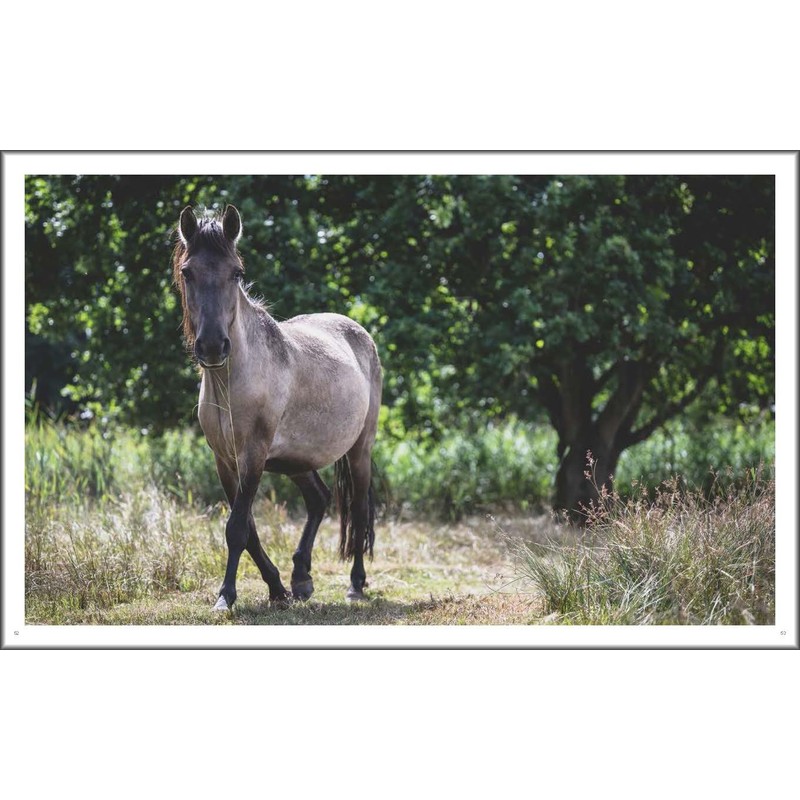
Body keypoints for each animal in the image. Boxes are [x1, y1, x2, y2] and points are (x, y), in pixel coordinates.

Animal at [173, 204, 382, 611]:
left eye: (236, 272)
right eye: (188, 271)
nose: (212, 346)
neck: (233, 381)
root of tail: (358, 332)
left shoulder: (253, 455)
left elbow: (237, 528)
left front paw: (226, 595)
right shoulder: (225, 461)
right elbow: (248, 529)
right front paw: (277, 588)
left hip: (359, 450)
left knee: (358, 510)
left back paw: (355, 584)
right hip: (297, 461)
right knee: (318, 499)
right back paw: (301, 578)